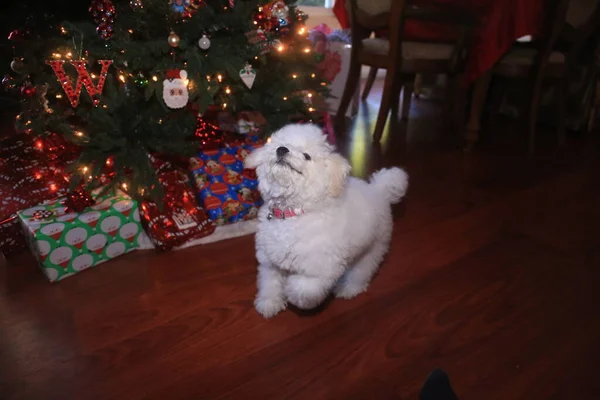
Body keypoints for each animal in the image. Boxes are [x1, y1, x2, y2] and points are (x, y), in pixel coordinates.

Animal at [244, 123, 408, 318]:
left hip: (373, 249)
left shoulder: (321, 269)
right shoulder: (270, 262)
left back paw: (349, 289)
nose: (282, 149)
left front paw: (291, 291)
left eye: (306, 156)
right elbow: (270, 284)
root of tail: (380, 190)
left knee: (361, 272)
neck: (291, 213)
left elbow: (303, 288)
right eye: (279, 144)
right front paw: (269, 303)